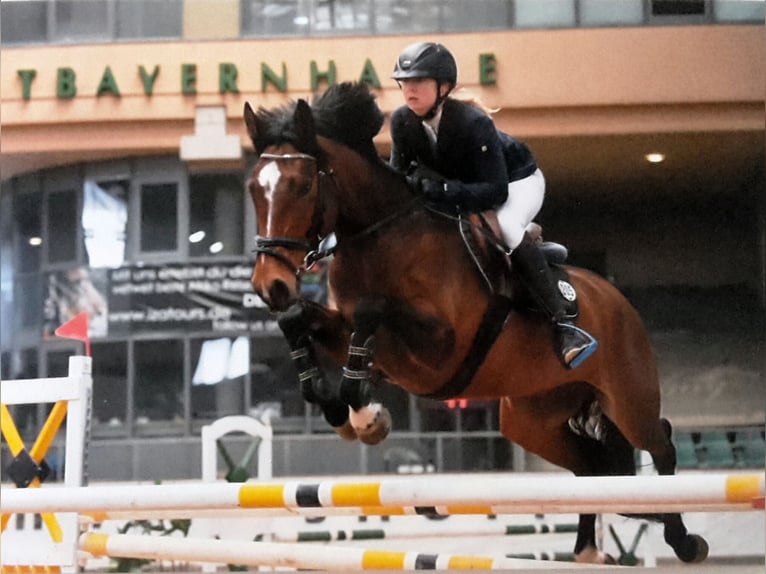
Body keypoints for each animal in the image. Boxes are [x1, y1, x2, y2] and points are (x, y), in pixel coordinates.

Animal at [242, 82, 708, 564]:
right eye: (253, 189)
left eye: (301, 186)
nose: (269, 285)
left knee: (660, 442)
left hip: (627, 397)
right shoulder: (356, 333)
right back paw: (586, 551)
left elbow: (371, 316)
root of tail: (615, 296)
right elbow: (299, 319)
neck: (378, 236)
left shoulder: (440, 349)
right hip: (532, 418)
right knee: (589, 467)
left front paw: (367, 417)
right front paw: (336, 407)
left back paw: (683, 540)